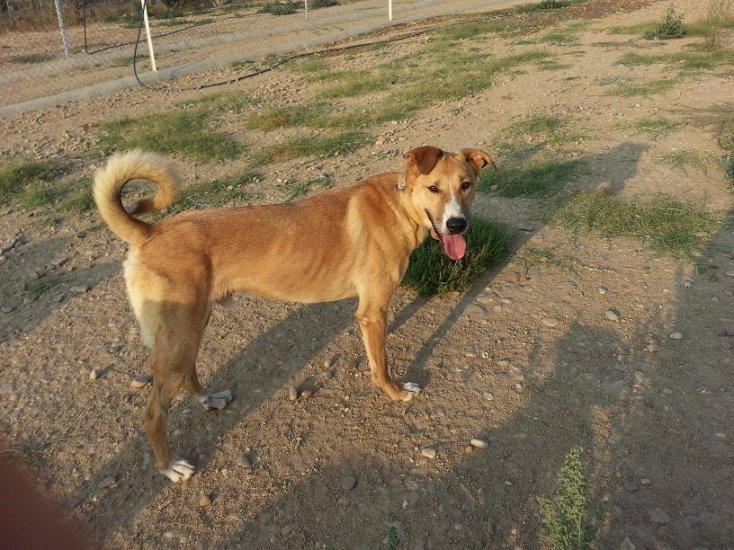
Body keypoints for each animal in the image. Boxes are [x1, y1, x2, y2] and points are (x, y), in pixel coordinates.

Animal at [92, 146, 494, 484]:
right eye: (433, 188)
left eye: (466, 185)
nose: (457, 225)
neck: (401, 204)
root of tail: (151, 231)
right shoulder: (372, 312)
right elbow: (381, 366)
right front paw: (395, 392)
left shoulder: (372, 313)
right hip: (180, 336)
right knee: (153, 414)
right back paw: (170, 466)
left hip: (190, 327)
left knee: (188, 372)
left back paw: (208, 400)